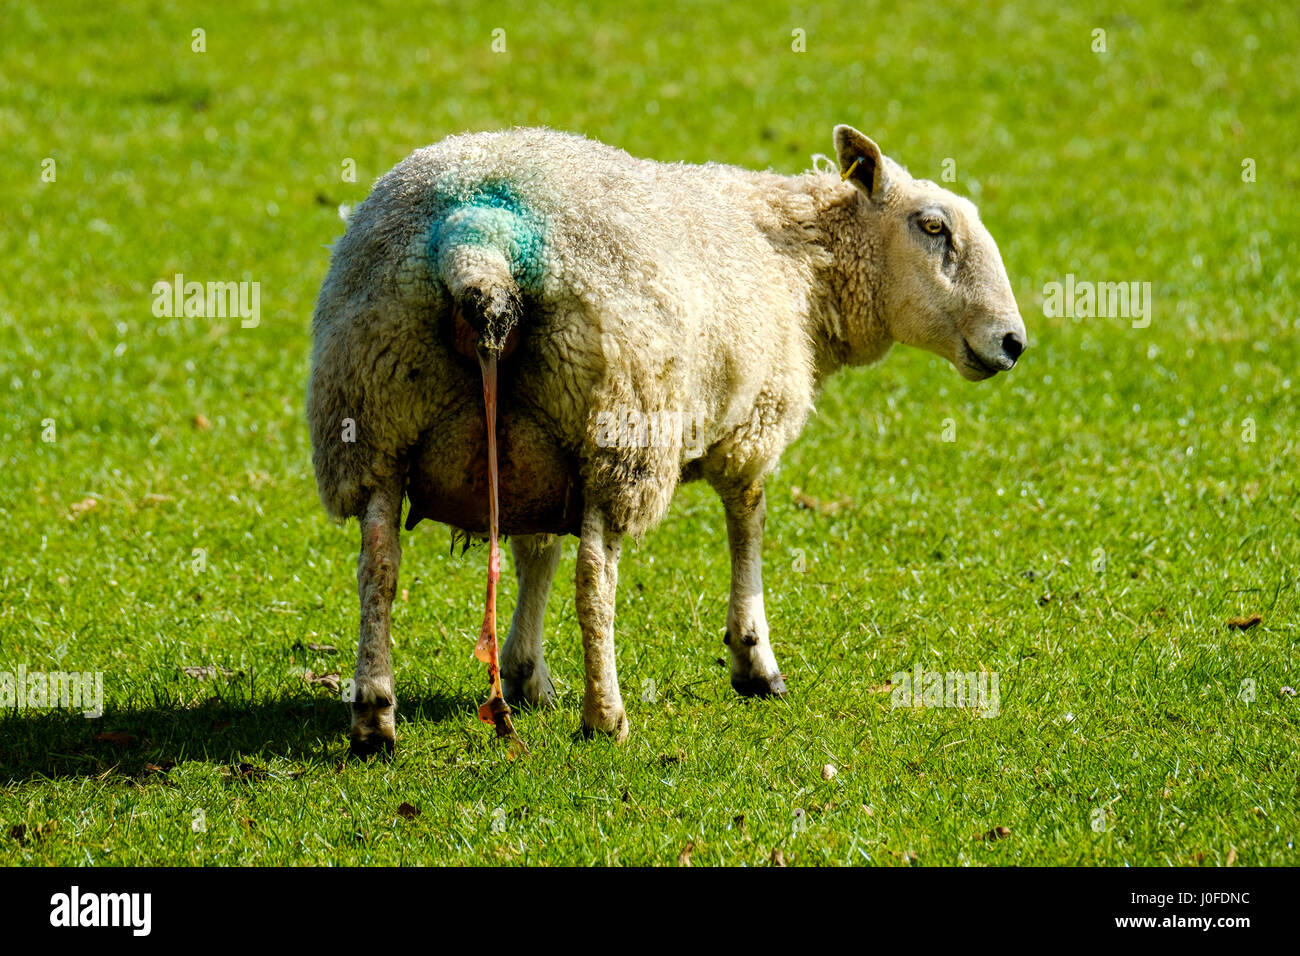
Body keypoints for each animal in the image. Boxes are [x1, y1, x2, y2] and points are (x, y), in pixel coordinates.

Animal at [306, 123, 1024, 754]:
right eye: (933, 227)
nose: (1013, 342)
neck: (803, 271)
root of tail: (477, 239)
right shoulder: (751, 427)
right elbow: (748, 523)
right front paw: (753, 659)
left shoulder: (535, 459)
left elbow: (536, 550)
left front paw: (525, 672)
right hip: (619, 428)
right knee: (595, 580)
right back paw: (606, 717)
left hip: (374, 415)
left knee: (379, 569)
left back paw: (374, 720)